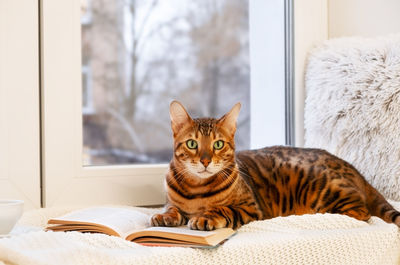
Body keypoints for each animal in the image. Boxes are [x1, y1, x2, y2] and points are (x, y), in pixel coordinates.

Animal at [151, 100, 400, 229]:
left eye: (218, 144)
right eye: (192, 144)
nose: (205, 160)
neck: (198, 189)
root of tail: (354, 170)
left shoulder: (250, 206)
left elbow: (223, 208)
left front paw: (205, 217)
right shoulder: (173, 201)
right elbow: (171, 208)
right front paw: (165, 216)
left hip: (323, 187)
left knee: (362, 213)